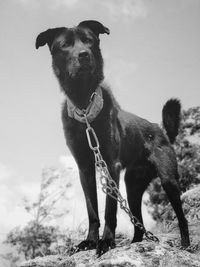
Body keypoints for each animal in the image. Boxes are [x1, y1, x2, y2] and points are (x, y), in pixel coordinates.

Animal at [36, 20, 191, 255]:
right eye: (65, 45)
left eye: (89, 41)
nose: (84, 55)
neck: (85, 107)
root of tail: (161, 130)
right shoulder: (85, 169)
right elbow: (92, 210)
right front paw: (89, 241)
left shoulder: (111, 166)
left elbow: (110, 209)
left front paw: (107, 241)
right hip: (132, 186)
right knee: (138, 223)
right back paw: (137, 244)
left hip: (168, 181)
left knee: (182, 218)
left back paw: (185, 246)